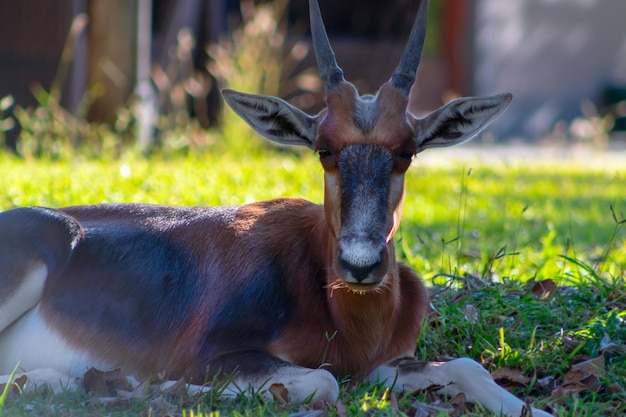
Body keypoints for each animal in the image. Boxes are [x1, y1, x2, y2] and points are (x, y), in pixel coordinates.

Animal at [0, 1, 544, 414]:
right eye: (324, 149)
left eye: (406, 152)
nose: (360, 266)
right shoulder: (212, 354)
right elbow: (323, 381)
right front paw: (147, 386)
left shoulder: (380, 366)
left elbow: (467, 367)